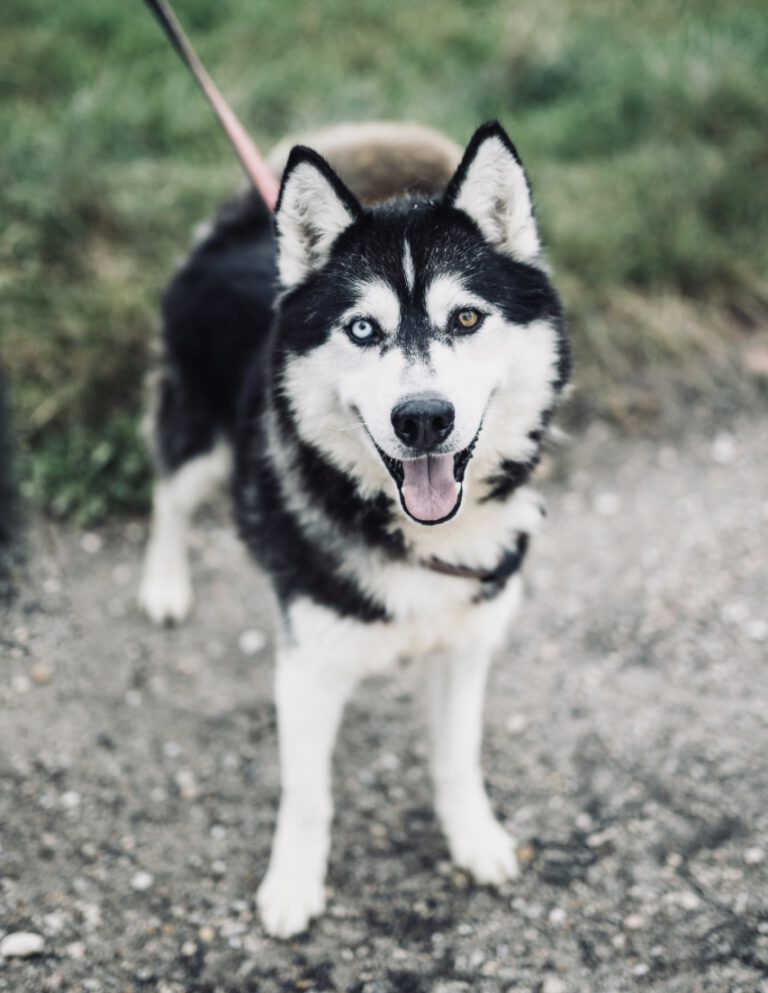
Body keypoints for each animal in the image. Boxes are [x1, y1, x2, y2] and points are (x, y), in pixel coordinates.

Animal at [140, 120, 568, 932]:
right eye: (363, 328)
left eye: (467, 317)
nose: (424, 418)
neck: (415, 533)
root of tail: (240, 231)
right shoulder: (309, 667)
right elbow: (308, 794)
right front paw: (292, 885)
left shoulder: (466, 647)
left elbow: (457, 756)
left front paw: (475, 839)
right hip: (200, 441)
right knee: (168, 497)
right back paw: (164, 584)